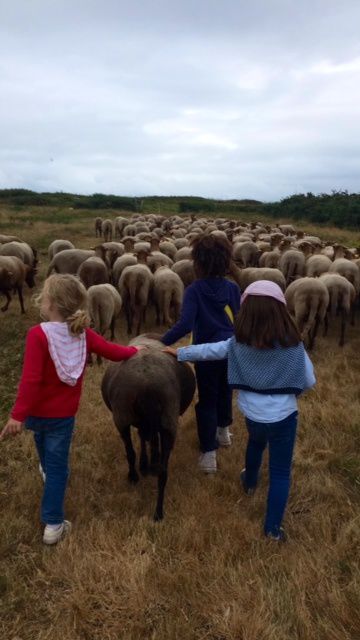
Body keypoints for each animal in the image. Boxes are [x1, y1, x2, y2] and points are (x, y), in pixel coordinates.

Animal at [100, 336, 197, 520]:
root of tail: (147, 385)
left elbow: (142, 442)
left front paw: (144, 465)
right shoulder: (151, 424)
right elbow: (149, 440)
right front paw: (149, 462)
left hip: (122, 416)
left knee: (130, 452)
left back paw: (133, 477)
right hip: (168, 421)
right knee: (163, 472)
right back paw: (158, 512)